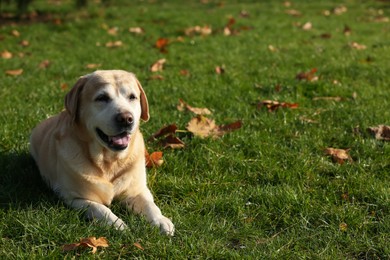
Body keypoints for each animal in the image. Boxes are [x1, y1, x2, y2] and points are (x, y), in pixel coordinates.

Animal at [30, 69, 175, 236]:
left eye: (132, 97)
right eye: (102, 98)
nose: (126, 119)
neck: (109, 161)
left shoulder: (138, 190)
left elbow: (150, 205)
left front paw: (161, 221)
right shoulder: (73, 197)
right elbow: (98, 208)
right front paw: (117, 223)